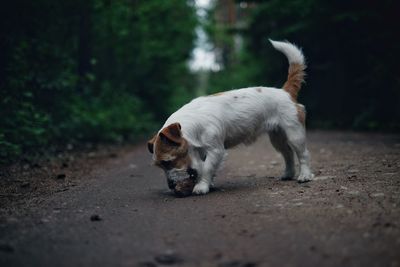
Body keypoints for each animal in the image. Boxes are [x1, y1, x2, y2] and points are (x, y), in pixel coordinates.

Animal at [147, 39, 312, 195]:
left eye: (167, 162)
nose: (171, 186)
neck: (194, 125)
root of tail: (285, 92)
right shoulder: (203, 152)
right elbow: (206, 168)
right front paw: (209, 184)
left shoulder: (215, 150)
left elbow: (206, 168)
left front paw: (201, 186)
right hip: (277, 138)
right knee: (288, 154)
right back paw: (288, 174)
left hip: (294, 134)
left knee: (302, 154)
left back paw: (304, 175)